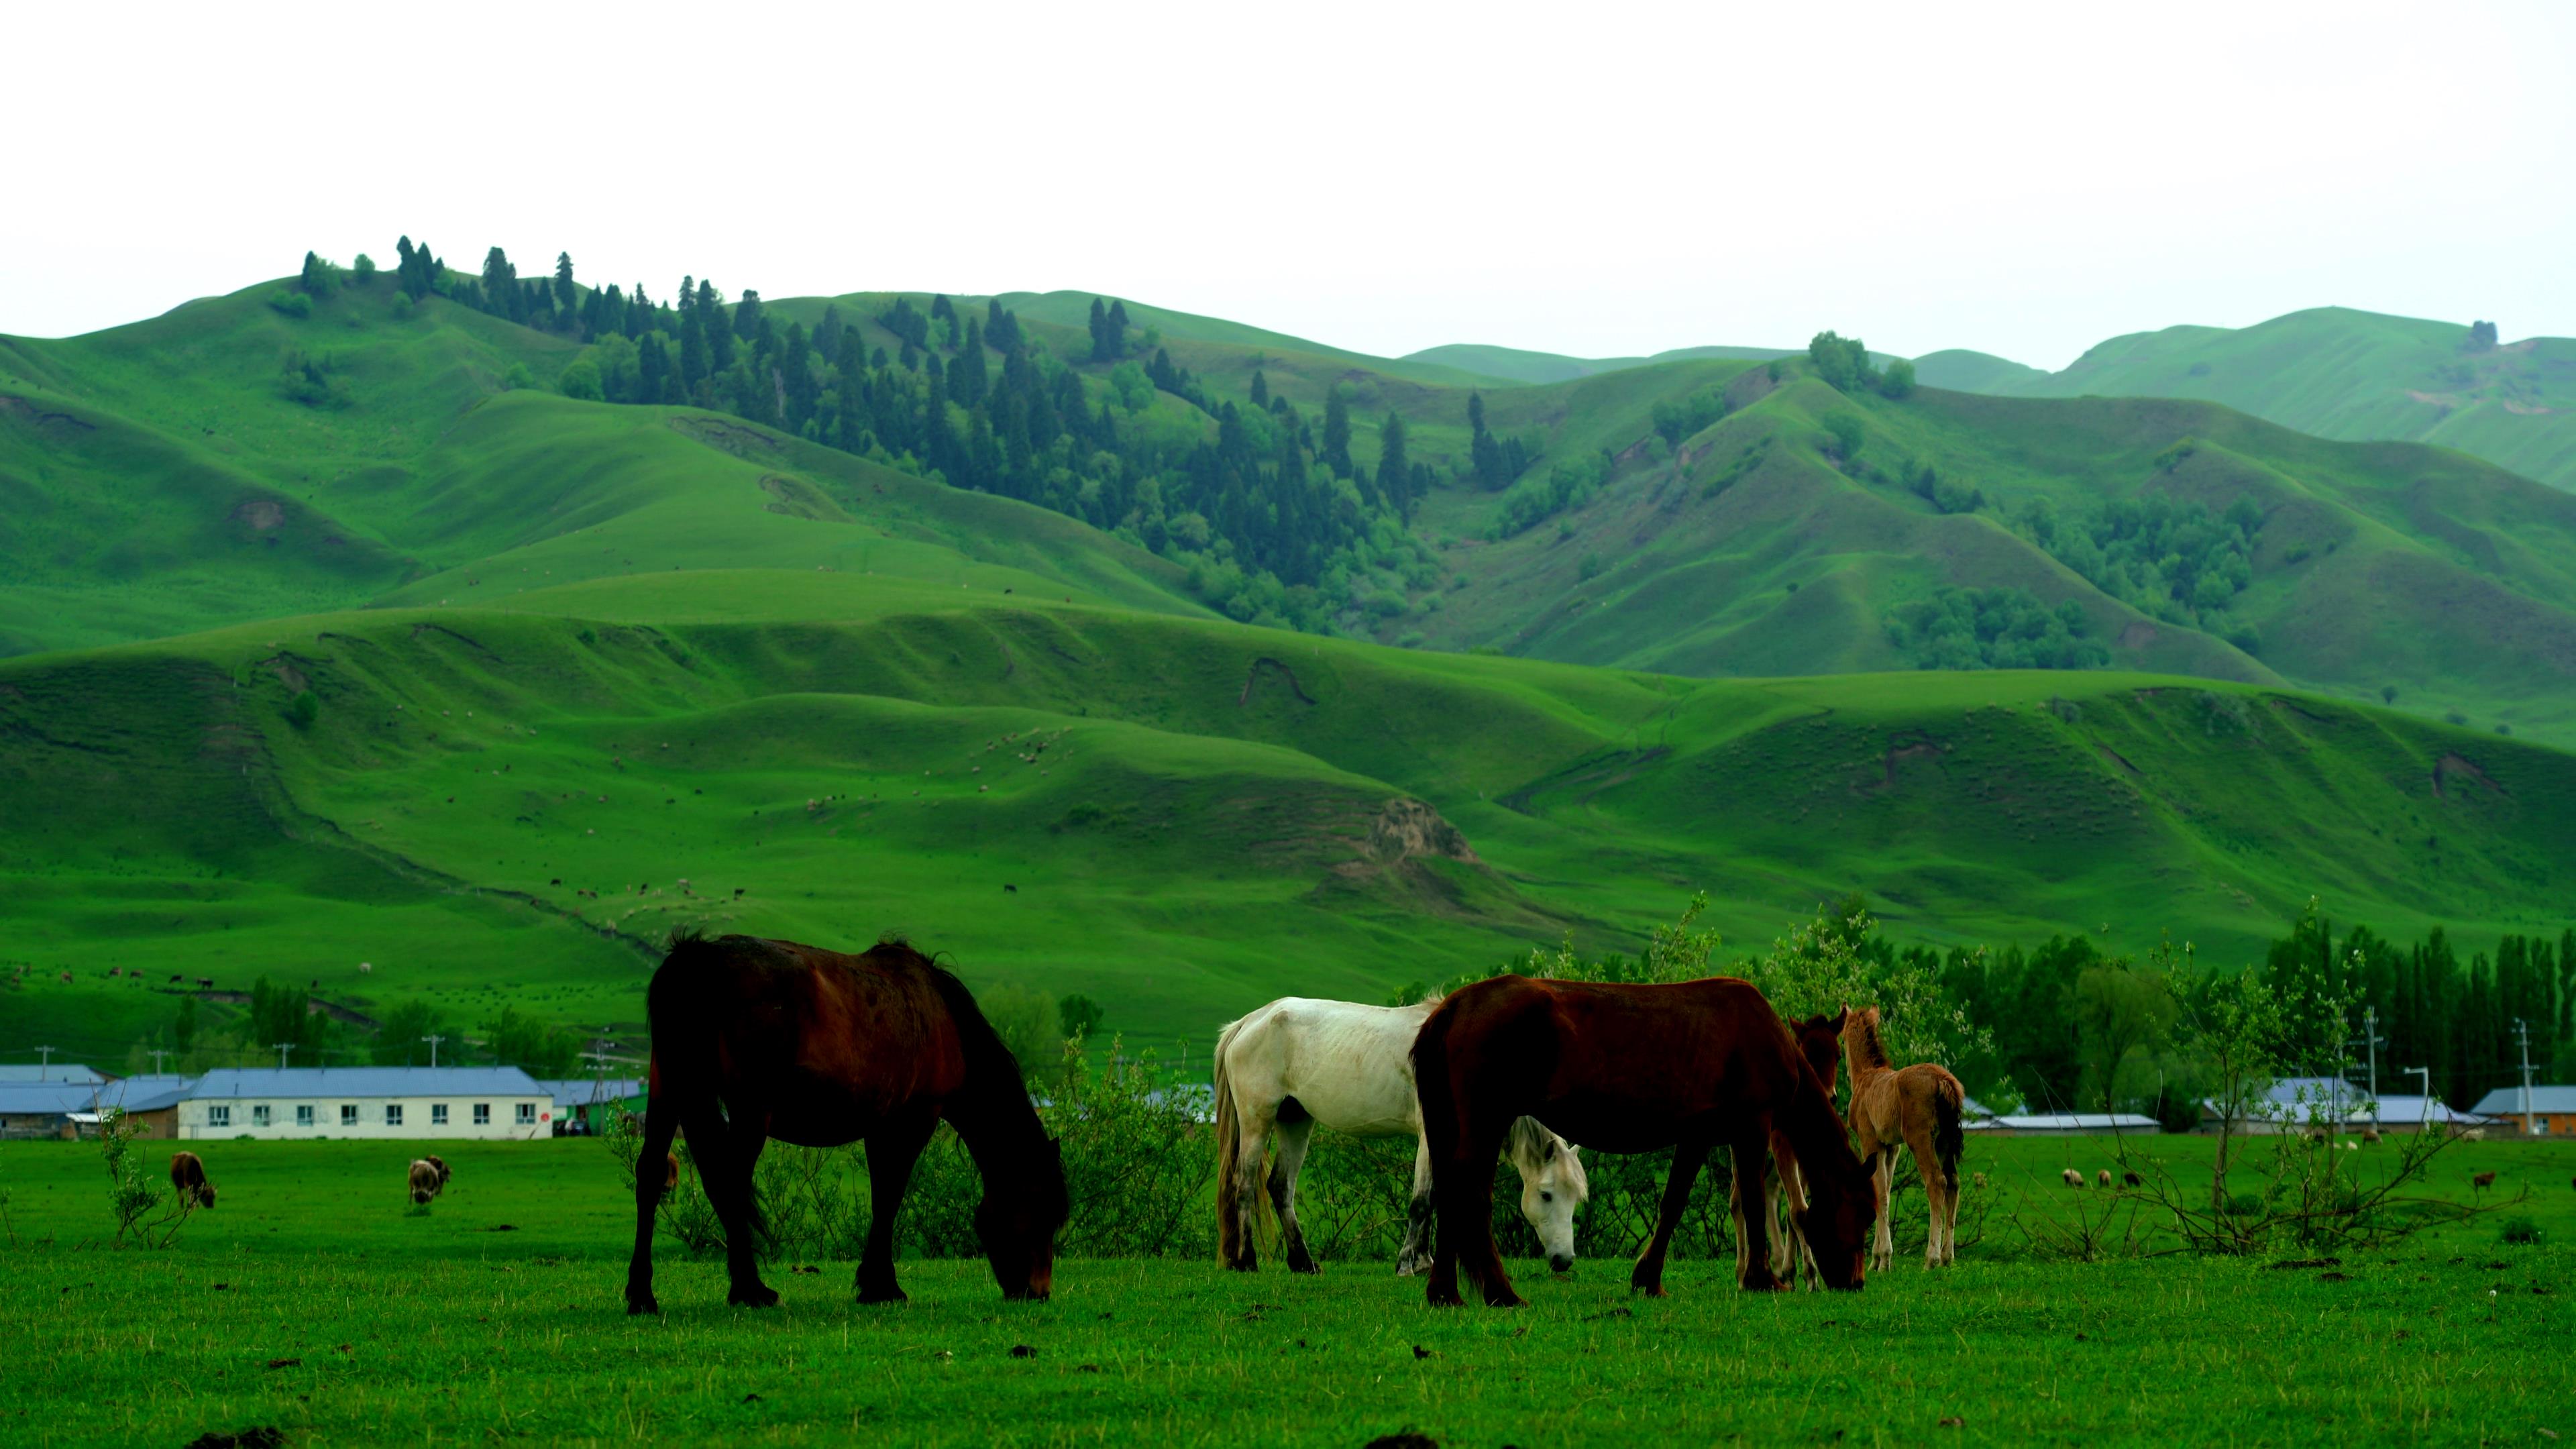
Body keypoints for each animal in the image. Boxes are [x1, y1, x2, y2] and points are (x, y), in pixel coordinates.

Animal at [623, 922, 1066, 1309]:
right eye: (1043, 1211)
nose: (1039, 1291)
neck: (941, 1019)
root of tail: (697, 959)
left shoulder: (881, 1125)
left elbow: (882, 1194)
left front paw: (875, 1283)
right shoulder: (915, 1120)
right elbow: (891, 1196)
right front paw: (883, 1286)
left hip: (668, 1090)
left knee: (651, 1174)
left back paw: (642, 1294)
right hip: (750, 1110)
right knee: (730, 1183)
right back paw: (751, 1289)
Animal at [1210, 1000, 1587, 1268]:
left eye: (1577, 1198)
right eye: (1547, 1194)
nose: (1565, 1261)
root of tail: (1249, 1022)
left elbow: (1435, 1197)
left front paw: (1424, 1260)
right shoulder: (1429, 1136)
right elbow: (1421, 1200)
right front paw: (1407, 1262)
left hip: (1296, 1121)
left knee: (1280, 1187)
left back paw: (1304, 1263)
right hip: (1257, 1120)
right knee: (1243, 1185)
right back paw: (1246, 1260)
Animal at [1411, 974, 1875, 1304]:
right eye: (1868, 1214)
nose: (1855, 1282)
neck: (1762, 1034)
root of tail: (1455, 1006)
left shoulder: (1697, 1135)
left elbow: (1672, 1204)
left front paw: (1648, 1279)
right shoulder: (1753, 1128)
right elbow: (1755, 1203)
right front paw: (1762, 1279)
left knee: (1447, 1190)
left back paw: (1445, 1293)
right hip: (1487, 1121)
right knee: (1468, 1194)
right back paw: (1500, 1293)